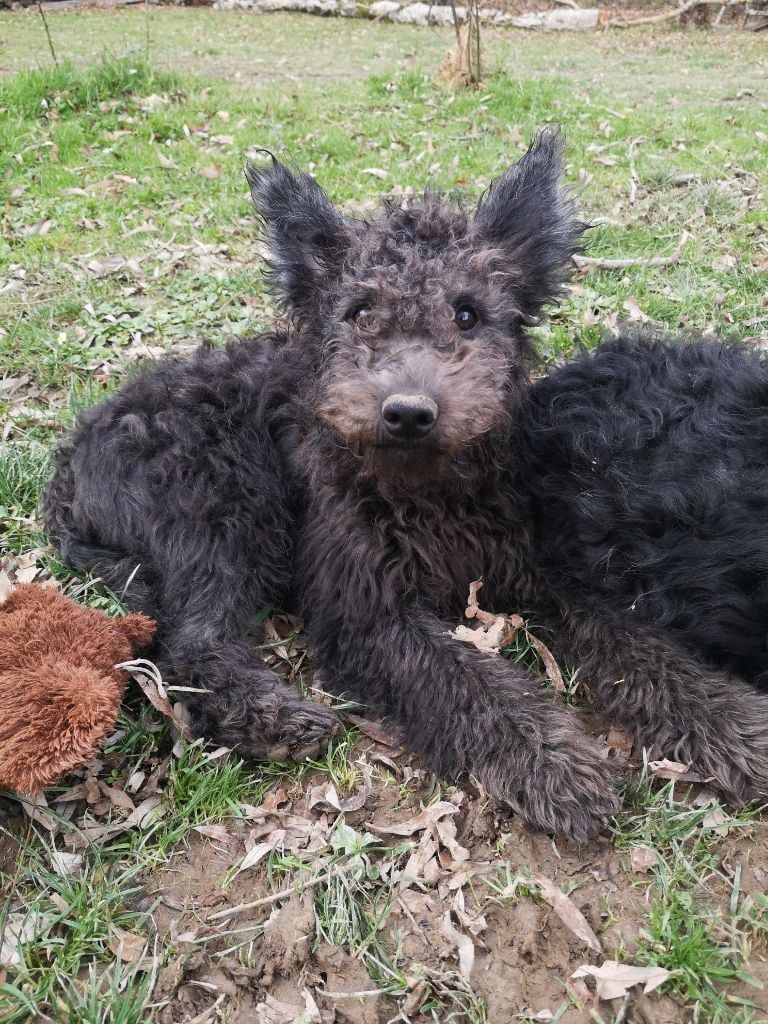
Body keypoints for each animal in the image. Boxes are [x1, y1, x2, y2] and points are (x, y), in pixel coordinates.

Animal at [45, 130, 768, 839]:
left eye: (469, 314)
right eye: (359, 312)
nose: (409, 412)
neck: (428, 492)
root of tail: (72, 461)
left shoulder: (544, 564)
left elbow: (633, 642)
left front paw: (732, 721)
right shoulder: (365, 609)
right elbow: (464, 680)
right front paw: (551, 762)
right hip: (227, 503)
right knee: (191, 643)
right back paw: (274, 717)